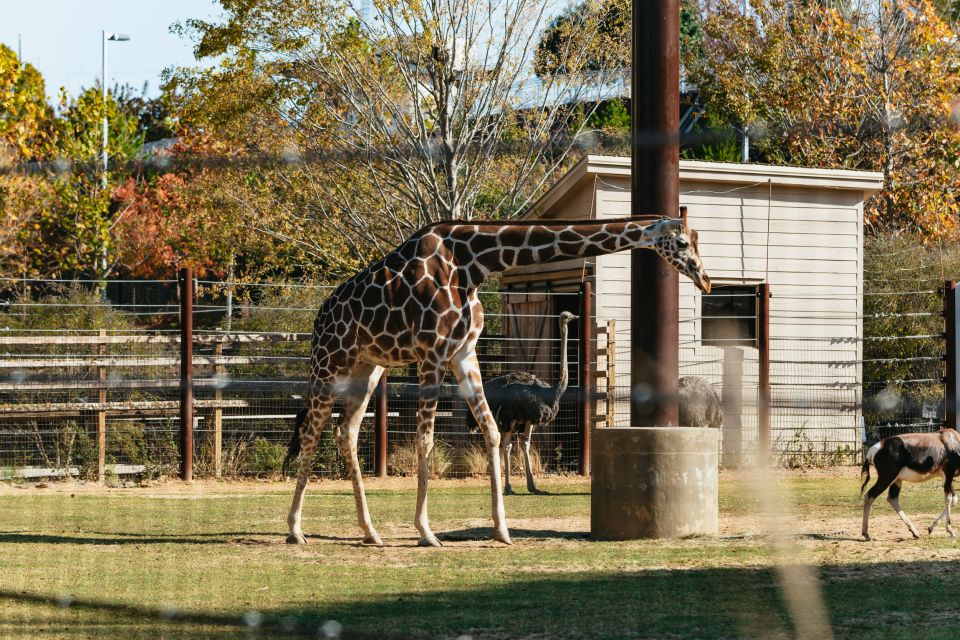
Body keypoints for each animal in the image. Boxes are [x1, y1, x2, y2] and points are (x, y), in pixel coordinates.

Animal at [288, 210, 708, 544]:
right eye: (682, 242)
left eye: (695, 241)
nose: (705, 280)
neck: (474, 262)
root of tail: (320, 315)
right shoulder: (432, 353)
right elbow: (426, 439)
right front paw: (426, 532)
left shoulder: (463, 352)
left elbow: (491, 431)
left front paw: (502, 530)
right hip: (330, 358)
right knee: (311, 428)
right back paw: (295, 530)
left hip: (368, 365)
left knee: (345, 430)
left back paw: (370, 532)